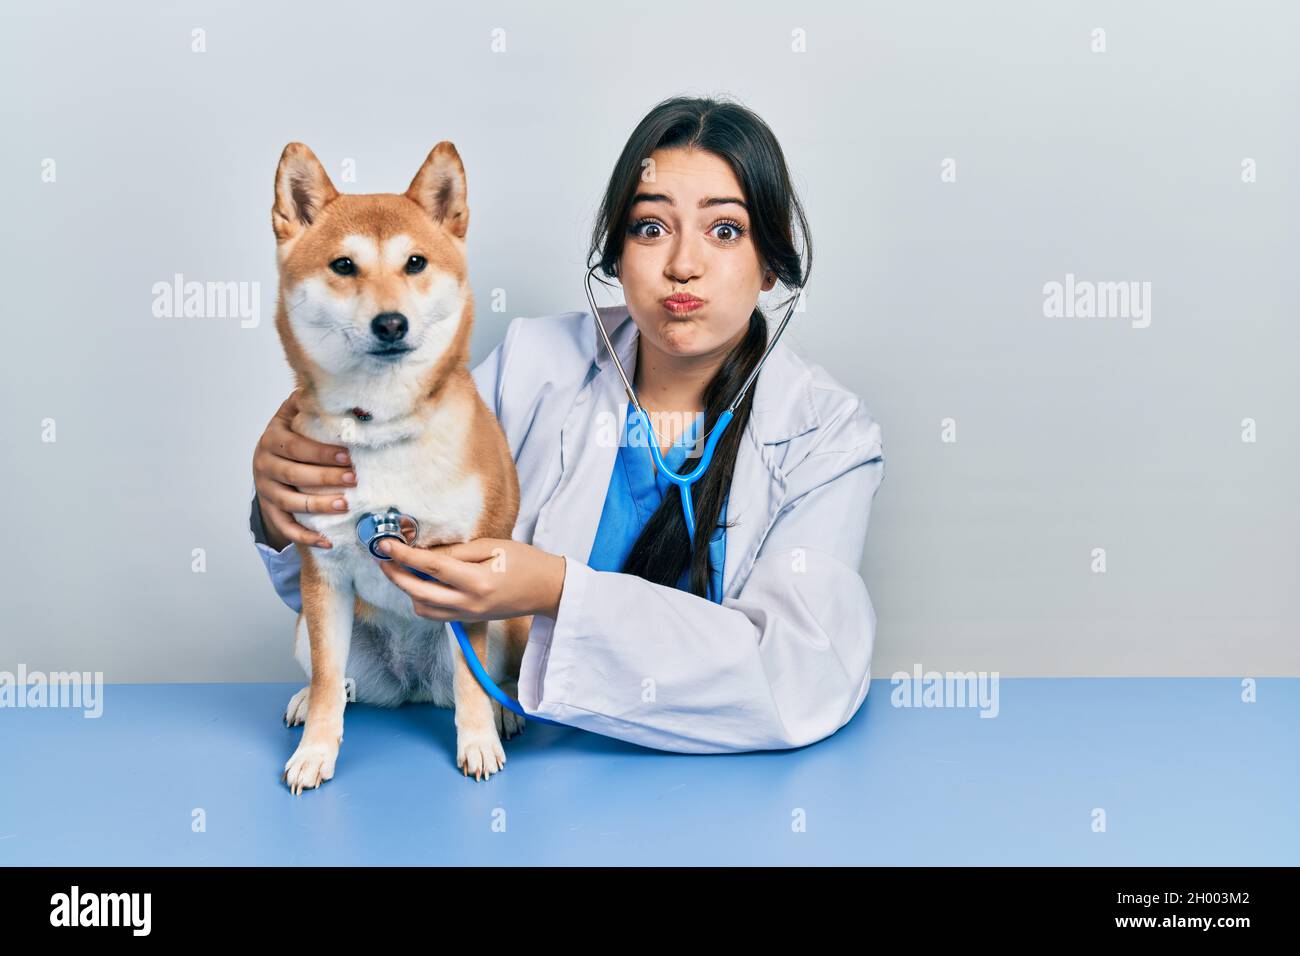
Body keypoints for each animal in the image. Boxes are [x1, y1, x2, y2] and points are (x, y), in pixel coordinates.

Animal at [271, 141, 530, 790]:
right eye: (343, 266)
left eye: (415, 263)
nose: (391, 323)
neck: (380, 428)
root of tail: (412, 681)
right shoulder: (324, 575)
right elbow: (327, 682)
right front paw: (316, 750)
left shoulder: (466, 575)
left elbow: (473, 681)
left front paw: (479, 740)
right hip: (307, 627)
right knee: (335, 680)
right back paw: (309, 699)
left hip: (511, 617)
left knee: (494, 678)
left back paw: (505, 712)